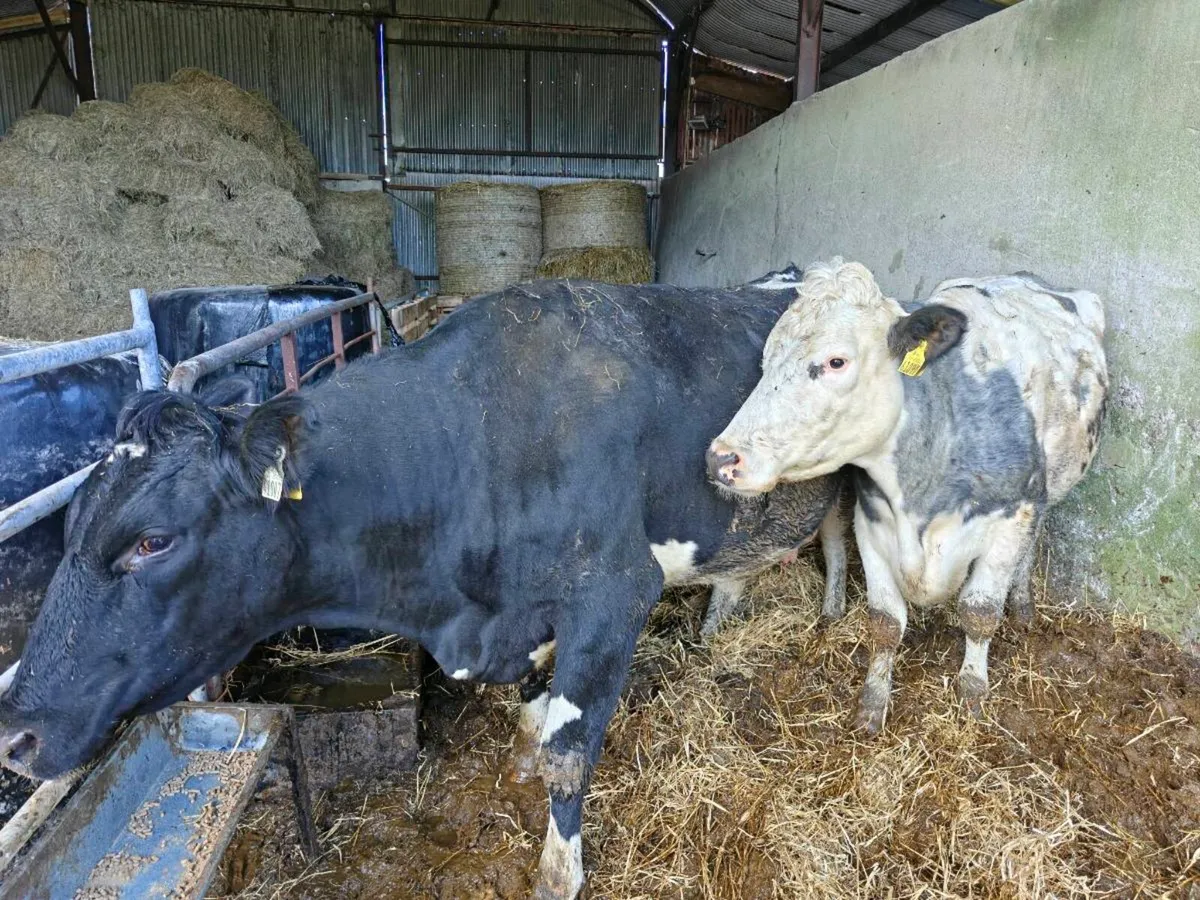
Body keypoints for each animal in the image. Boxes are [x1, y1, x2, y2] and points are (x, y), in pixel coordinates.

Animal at [0, 278, 846, 900]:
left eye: (152, 540)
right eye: (70, 526)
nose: (15, 736)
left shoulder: (612, 596)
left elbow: (570, 754)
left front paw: (558, 872)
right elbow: (532, 710)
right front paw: (520, 760)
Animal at [707, 259, 1107, 735]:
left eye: (836, 361)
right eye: (766, 361)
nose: (721, 458)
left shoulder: (1011, 517)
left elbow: (979, 613)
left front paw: (973, 696)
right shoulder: (871, 521)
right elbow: (884, 621)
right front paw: (872, 705)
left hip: (1049, 490)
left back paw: (1024, 607)